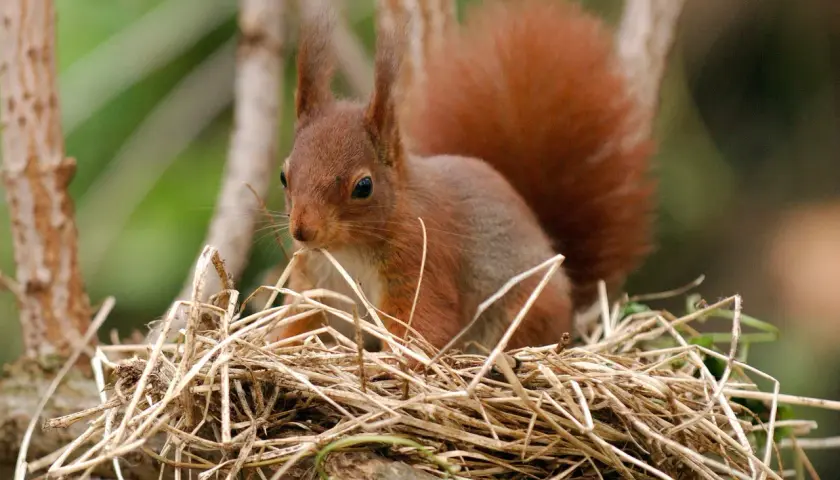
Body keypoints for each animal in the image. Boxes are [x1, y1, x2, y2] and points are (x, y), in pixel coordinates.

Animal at [269, 0, 655, 352]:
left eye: (363, 186)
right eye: (284, 177)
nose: (302, 230)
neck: (347, 250)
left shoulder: (422, 262)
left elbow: (424, 322)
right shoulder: (314, 284)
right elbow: (300, 320)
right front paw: (278, 345)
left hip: (526, 311)